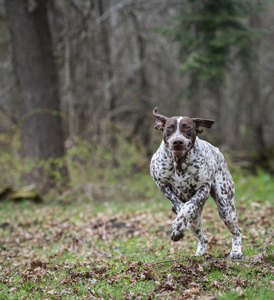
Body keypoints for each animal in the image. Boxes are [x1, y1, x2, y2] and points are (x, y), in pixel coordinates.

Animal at [151, 106, 243, 258]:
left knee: (236, 232)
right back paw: (199, 253)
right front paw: (178, 226)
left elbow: (188, 206)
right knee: (203, 237)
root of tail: (217, 151)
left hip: (226, 208)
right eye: (169, 128)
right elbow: (179, 205)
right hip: (195, 223)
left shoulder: (203, 188)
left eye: (187, 127)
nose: (177, 141)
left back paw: (236, 252)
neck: (179, 163)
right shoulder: (161, 183)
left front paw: (177, 228)